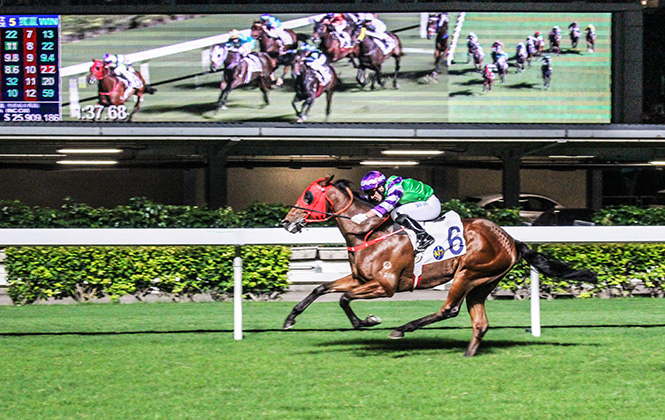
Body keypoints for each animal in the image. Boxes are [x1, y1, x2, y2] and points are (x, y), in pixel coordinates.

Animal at [278, 176, 592, 356]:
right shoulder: (360, 279)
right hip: (483, 283)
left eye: (308, 196)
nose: (286, 222)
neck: (369, 231)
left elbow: (343, 298)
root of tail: (511, 239)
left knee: (449, 309)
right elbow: (322, 288)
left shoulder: (385, 285)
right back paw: (467, 355)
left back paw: (402, 329)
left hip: (468, 273)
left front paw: (368, 321)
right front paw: (290, 319)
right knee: (480, 323)